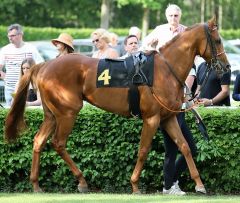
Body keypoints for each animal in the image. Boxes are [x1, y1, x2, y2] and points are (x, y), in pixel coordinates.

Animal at [4, 16, 230, 193]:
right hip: (68, 112)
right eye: (218, 40)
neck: (164, 70)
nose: (227, 67)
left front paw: (199, 184)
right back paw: (82, 181)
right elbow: (143, 150)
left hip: (52, 114)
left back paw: (36, 184)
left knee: (38, 141)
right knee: (58, 143)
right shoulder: (152, 118)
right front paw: (135, 184)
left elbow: (184, 147)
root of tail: (44, 65)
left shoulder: (168, 118)